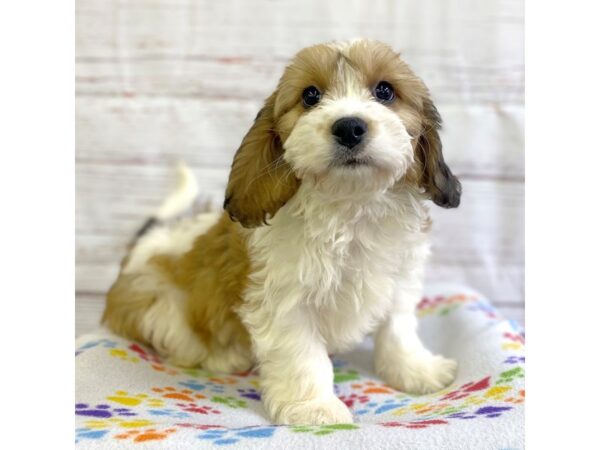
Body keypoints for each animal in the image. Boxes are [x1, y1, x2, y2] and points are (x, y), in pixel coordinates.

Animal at [103, 38, 462, 426]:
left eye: (385, 91)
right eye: (310, 96)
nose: (349, 127)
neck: (350, 207)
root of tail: (143, 245)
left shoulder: (399, 279)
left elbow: (398, 330)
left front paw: (415, 370)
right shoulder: (287, 302)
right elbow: (303, 355)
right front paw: (314, 407)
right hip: (157, 303)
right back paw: (223, 355)